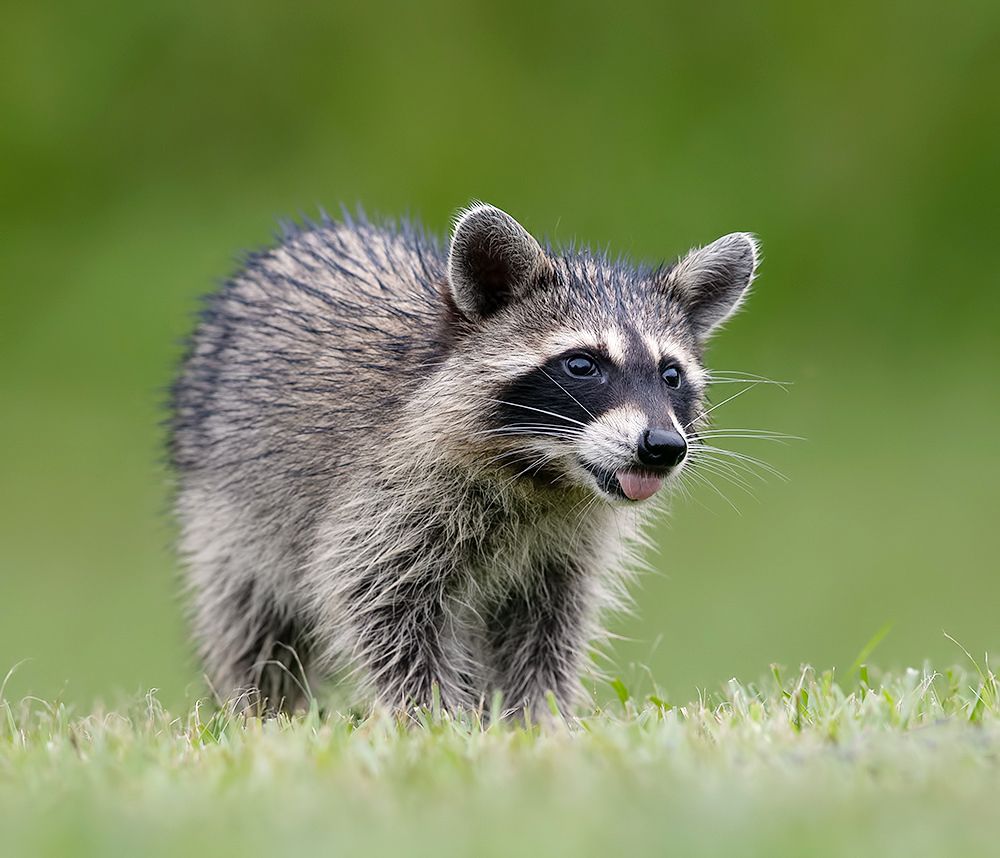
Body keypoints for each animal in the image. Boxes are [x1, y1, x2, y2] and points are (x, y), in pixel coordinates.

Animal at [169, 203, 759, 718]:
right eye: (582, 365)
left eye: (670, 375)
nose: (663, 447)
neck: (543, 473)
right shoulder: (388, 497)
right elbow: (382, 606)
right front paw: (432, 719)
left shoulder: (561, 552)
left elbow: (545, 631)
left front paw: (537, 718)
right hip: (230, 514)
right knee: (249, 620)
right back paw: (260, 711)